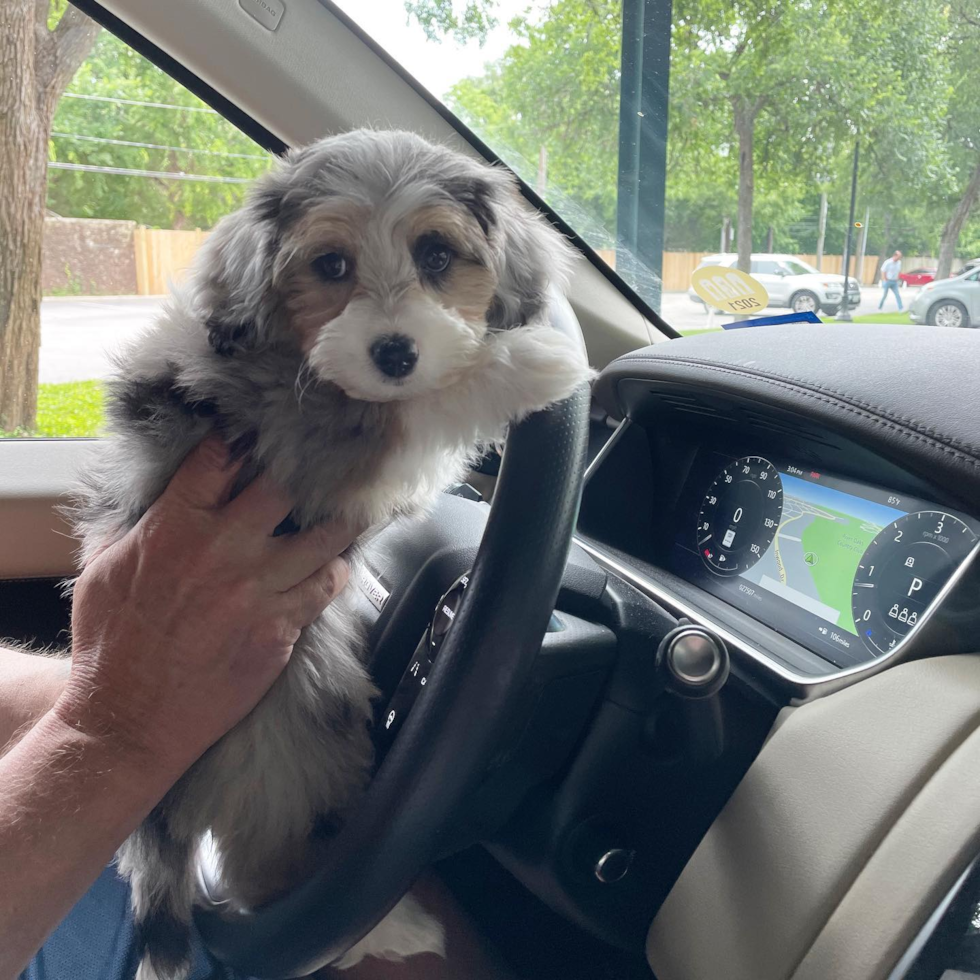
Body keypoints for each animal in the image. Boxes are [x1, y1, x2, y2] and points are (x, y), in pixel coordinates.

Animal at [71, 130, 588, 980]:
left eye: (437, 254)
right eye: (331, 265)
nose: (395, 353)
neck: (288, 351)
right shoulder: (301, 450)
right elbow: (401, 418)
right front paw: (530, 364)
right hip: (295, 757)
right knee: (272, 882)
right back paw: (388, 931)